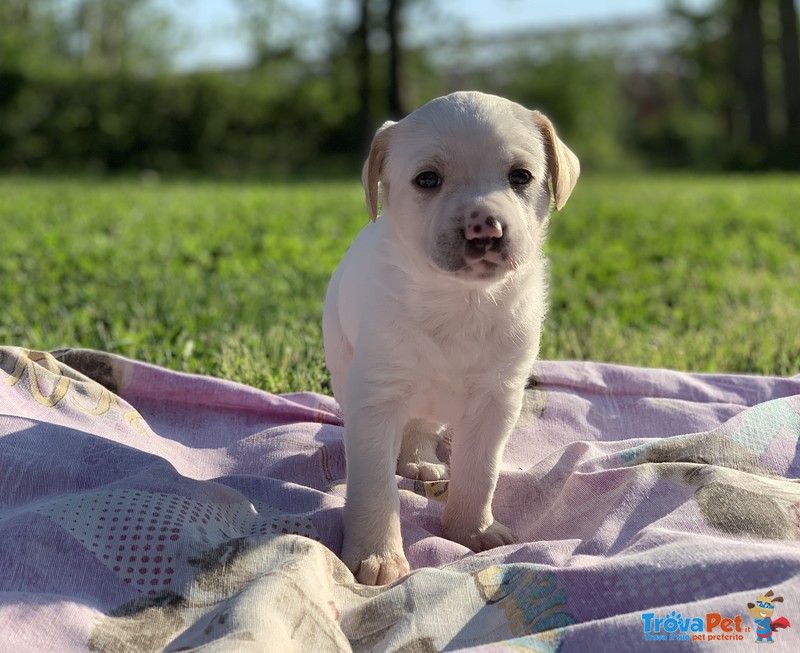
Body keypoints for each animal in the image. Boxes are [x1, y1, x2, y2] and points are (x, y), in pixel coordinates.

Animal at [322, 89, 580, 584]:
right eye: (427, 179)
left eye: (521, 176)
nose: (485, 227)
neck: (460, 300)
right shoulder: (374, 397)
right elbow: (374, 485)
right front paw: (377, 555)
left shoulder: (498, 398)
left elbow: (480, 471)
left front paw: (470, 531)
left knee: (421, 428)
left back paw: (422, 460)